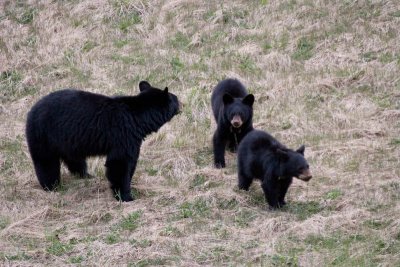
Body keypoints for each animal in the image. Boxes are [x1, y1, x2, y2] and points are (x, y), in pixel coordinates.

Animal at [26, 81, 180, 203]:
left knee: (74, 159)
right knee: (46, 162)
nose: (181, 104)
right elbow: (119, 162)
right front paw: (125, 196)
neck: (139, 118)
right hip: (44, 135)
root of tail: (31, 111)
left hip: (67, 141)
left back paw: (85, 175)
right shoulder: (123, 135)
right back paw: (52, 186)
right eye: (176, 99)